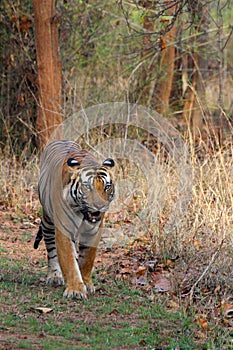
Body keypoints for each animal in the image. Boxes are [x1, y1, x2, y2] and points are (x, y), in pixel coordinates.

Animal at [33, 139, 114, 298]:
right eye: (87, 187)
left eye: (107, 187)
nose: (100, 205)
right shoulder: (64, 229)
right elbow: (69, 261)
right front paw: (76, 290)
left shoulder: (94, 232)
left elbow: (87, 259)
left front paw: (86, 283)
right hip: (48, 220)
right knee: (51, 248)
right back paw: (54, 276)